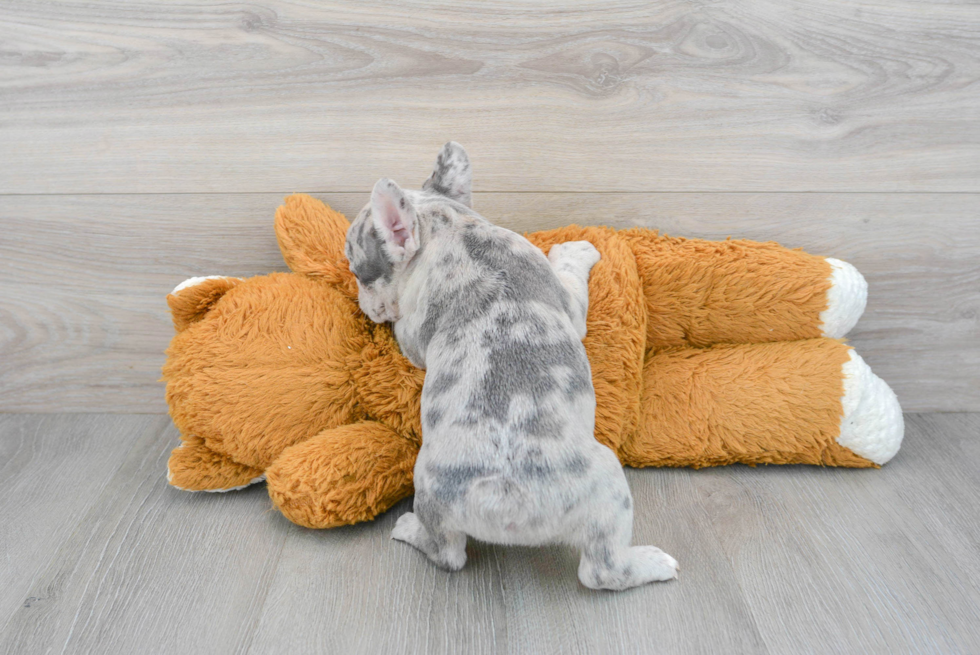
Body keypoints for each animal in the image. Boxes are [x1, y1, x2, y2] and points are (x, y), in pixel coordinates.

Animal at [342, 145, 672, 596]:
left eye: (358, 271)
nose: (363, 303)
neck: (449, 229)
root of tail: (503, 500)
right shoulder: (568, 306)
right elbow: (570, 275)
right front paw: (573, 253)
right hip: (607, 483)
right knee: (598, 571)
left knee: (450, 551)